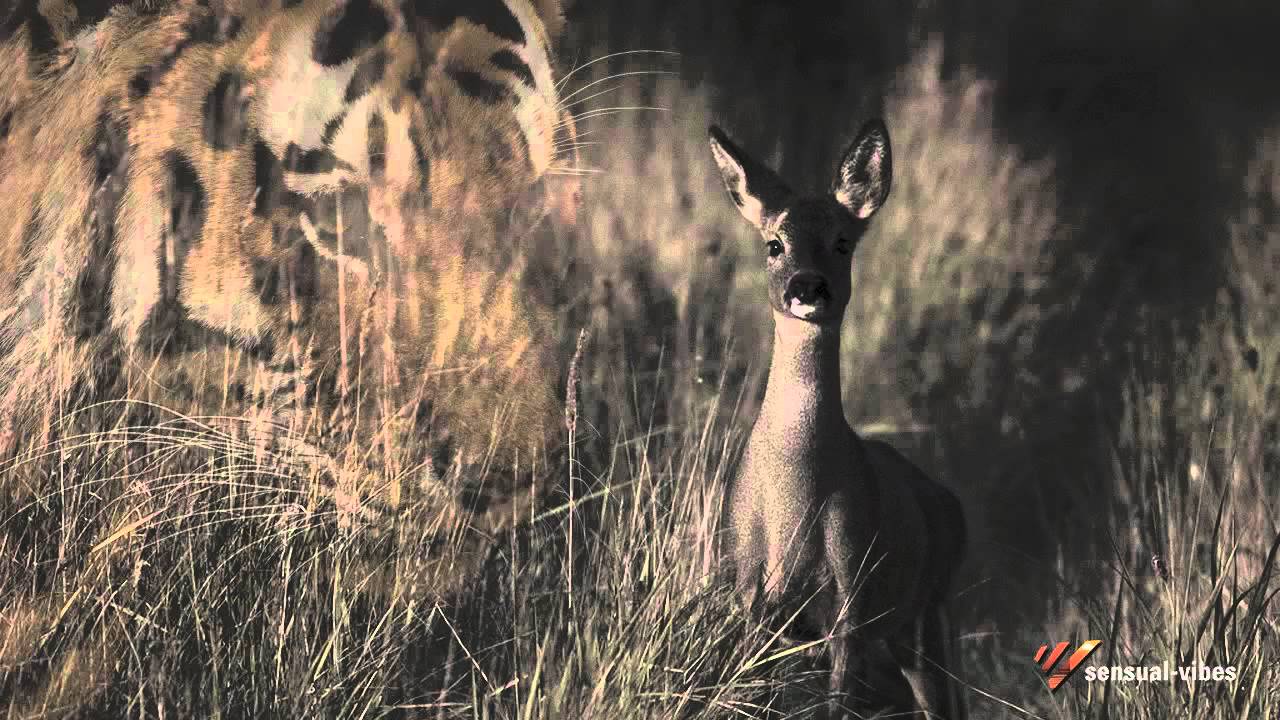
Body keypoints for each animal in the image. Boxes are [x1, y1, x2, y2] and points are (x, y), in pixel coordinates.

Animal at [710, 119, 967, 719]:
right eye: (774, 243)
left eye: (843, 242)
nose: (807, 286)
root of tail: (951, 503)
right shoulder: (749, 589)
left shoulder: (852, 589)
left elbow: (837, 702)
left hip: (929, 611)